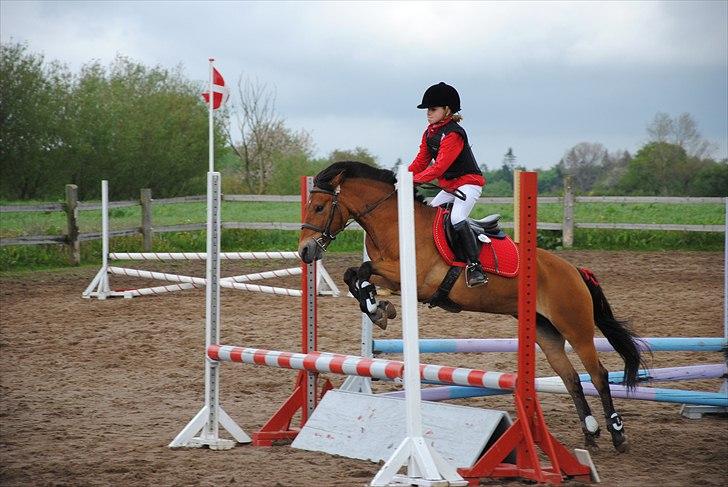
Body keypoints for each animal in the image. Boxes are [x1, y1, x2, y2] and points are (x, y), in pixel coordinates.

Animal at [298, 161, 646, 453]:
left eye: (319, 206)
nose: (304, 251)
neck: (394, 224)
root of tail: (574, 270)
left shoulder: (415, 279)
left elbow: (362, 270)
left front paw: (376, 307)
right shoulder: (393, 279)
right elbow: (354, 274)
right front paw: (377, 307)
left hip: (575, 326)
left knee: (597, 374)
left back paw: (617, 434)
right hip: (545, 331)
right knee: (570, 377)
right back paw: (590, 432)